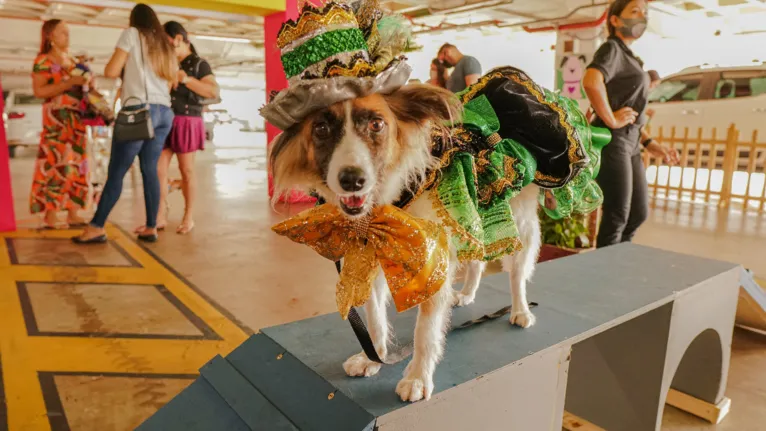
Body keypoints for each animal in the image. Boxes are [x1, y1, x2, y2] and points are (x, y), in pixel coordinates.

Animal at [268, 83, 540, 402]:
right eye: (321, 128)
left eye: (377, 125)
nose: (352, 180)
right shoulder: (371, 251)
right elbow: (374, 316)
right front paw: (373, 356)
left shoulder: (433, 262)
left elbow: (426, 331)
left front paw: (418, 377)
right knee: (477, 260)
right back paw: (467, 294)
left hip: (521, 224)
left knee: (517, 274)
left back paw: (520, 310)